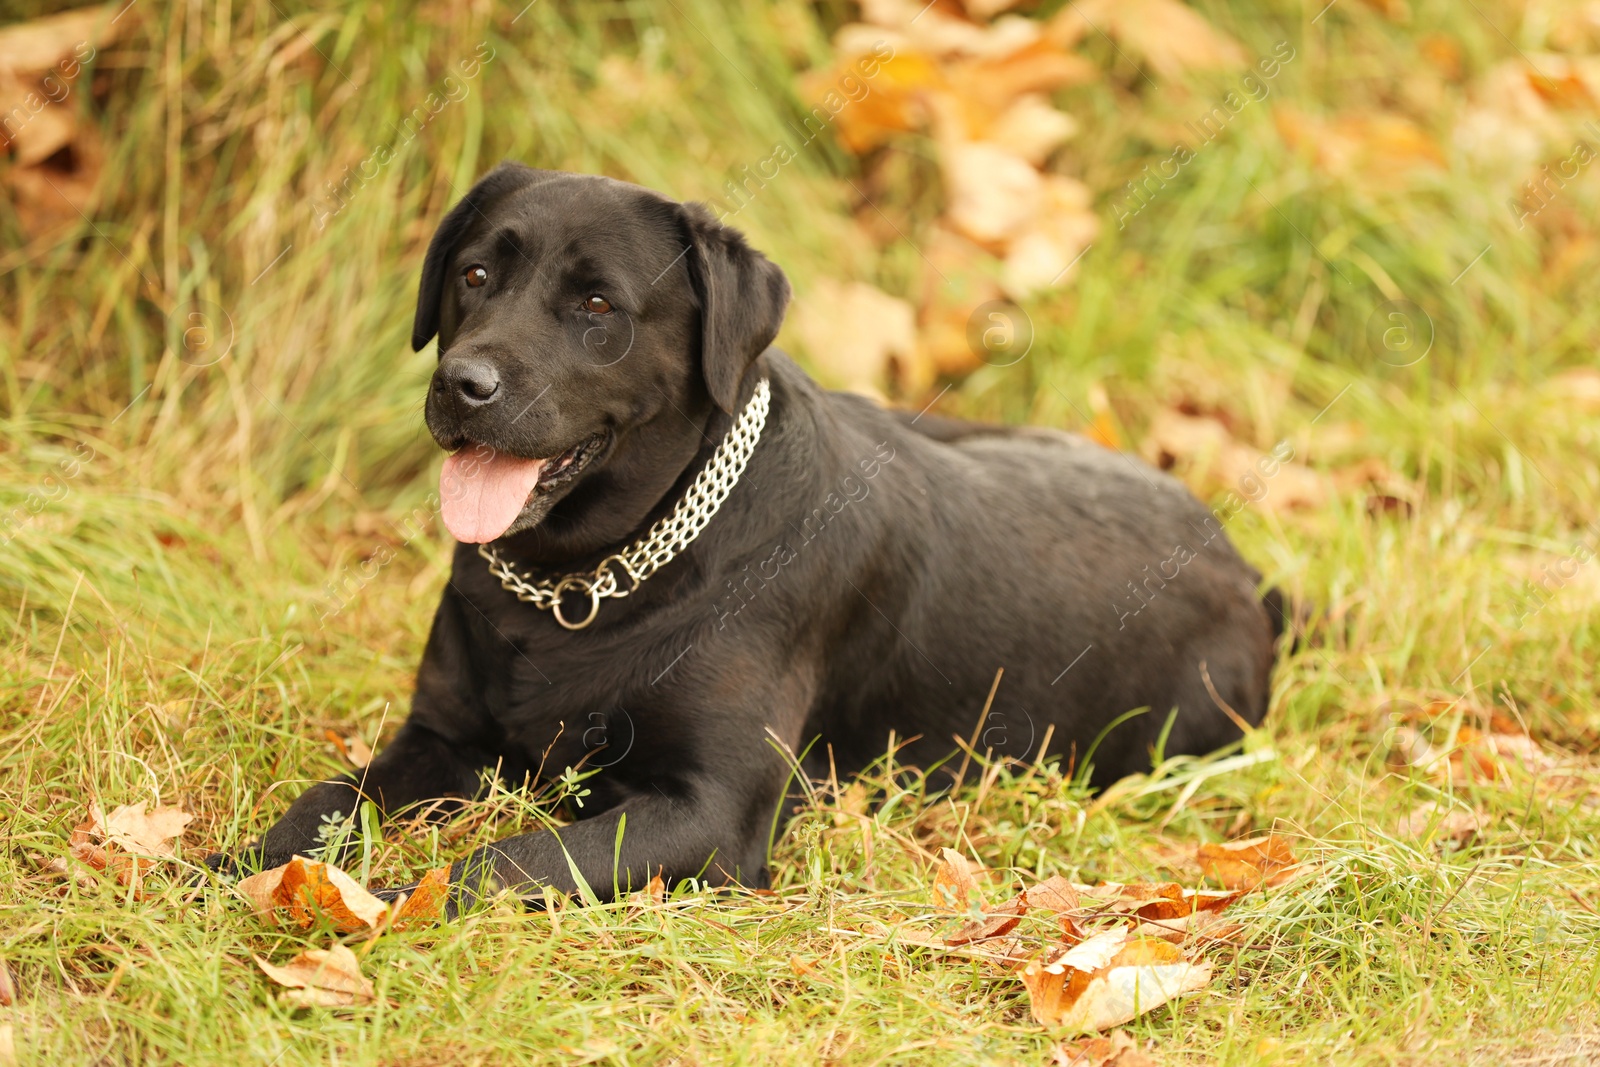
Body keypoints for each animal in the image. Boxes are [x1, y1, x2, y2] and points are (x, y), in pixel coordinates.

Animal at [236, 163, 1286, 908]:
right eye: (475, 274)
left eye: (598, 306)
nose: (463, 383)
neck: (583, 583)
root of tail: (1245, 569)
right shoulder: (443, 736)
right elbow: (324, 799)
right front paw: (236, 867)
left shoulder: (709, 809)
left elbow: (506, 862)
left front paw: (379, 900)